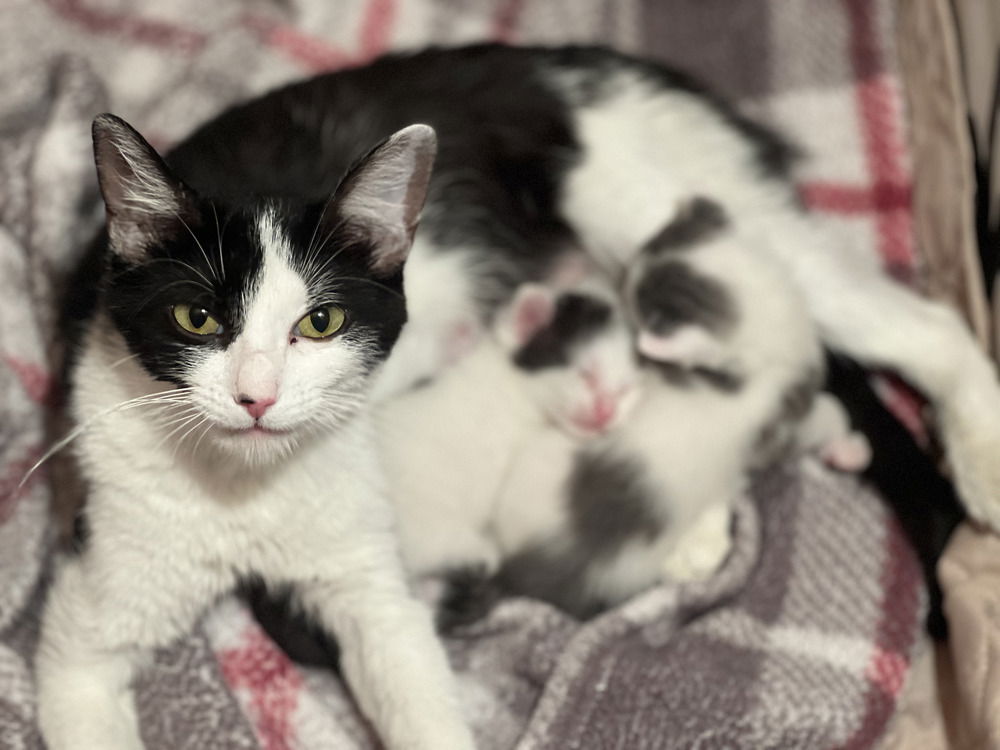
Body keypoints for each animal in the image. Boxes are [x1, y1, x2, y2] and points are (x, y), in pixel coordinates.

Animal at [36, 116, 476, 750]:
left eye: (321, 322)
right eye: (196, 318)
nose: (257, 396)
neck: (243, 487)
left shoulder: (355, 537)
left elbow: (400, 648)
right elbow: (80, 673)